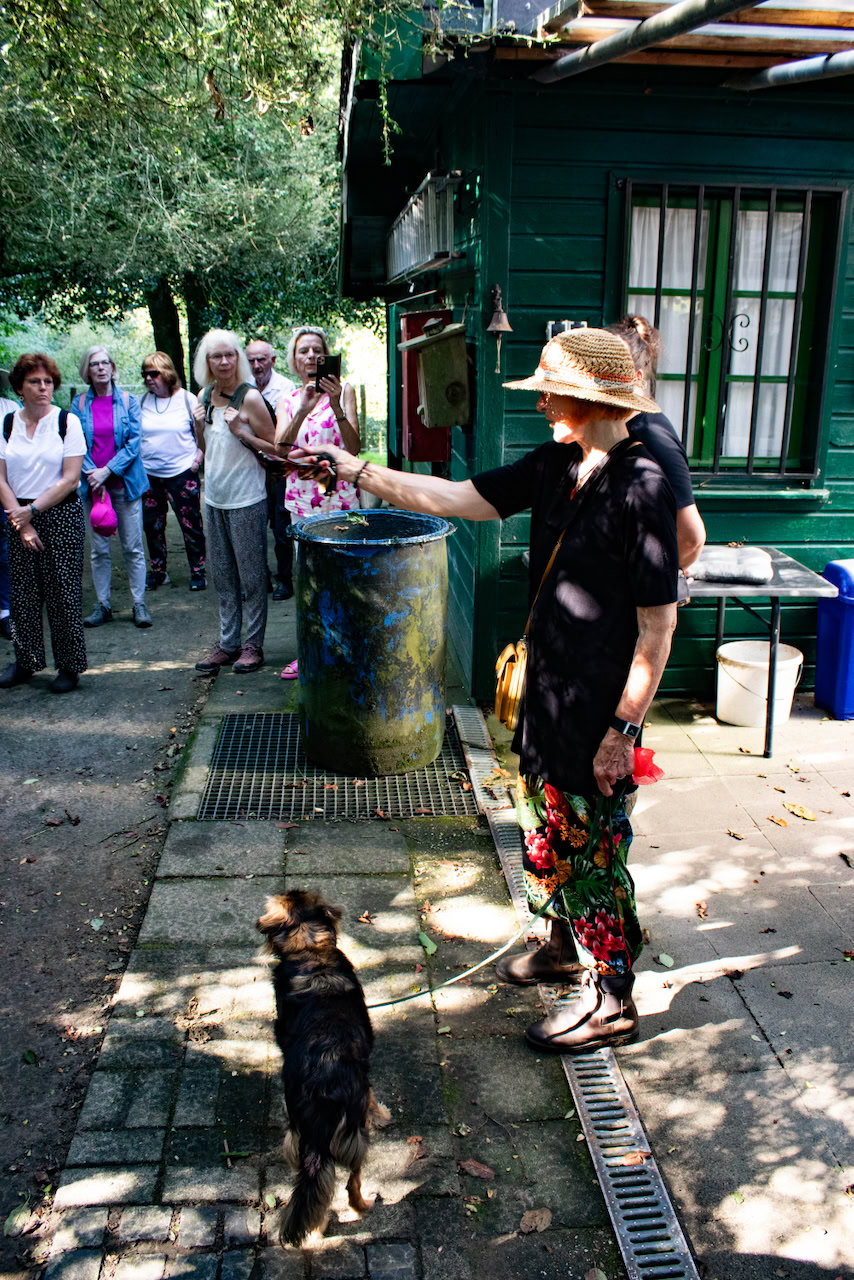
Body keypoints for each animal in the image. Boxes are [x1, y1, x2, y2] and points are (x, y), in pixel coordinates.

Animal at [257, 890, 391, 1246]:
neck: (310, 949)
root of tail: (321, 1096)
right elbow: (372, 1094)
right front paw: (382, 1114)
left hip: (297, 1141)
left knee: (315, 1190)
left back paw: (316, 1230)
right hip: (354, 1141)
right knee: (349, 1185)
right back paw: (364, 1206)